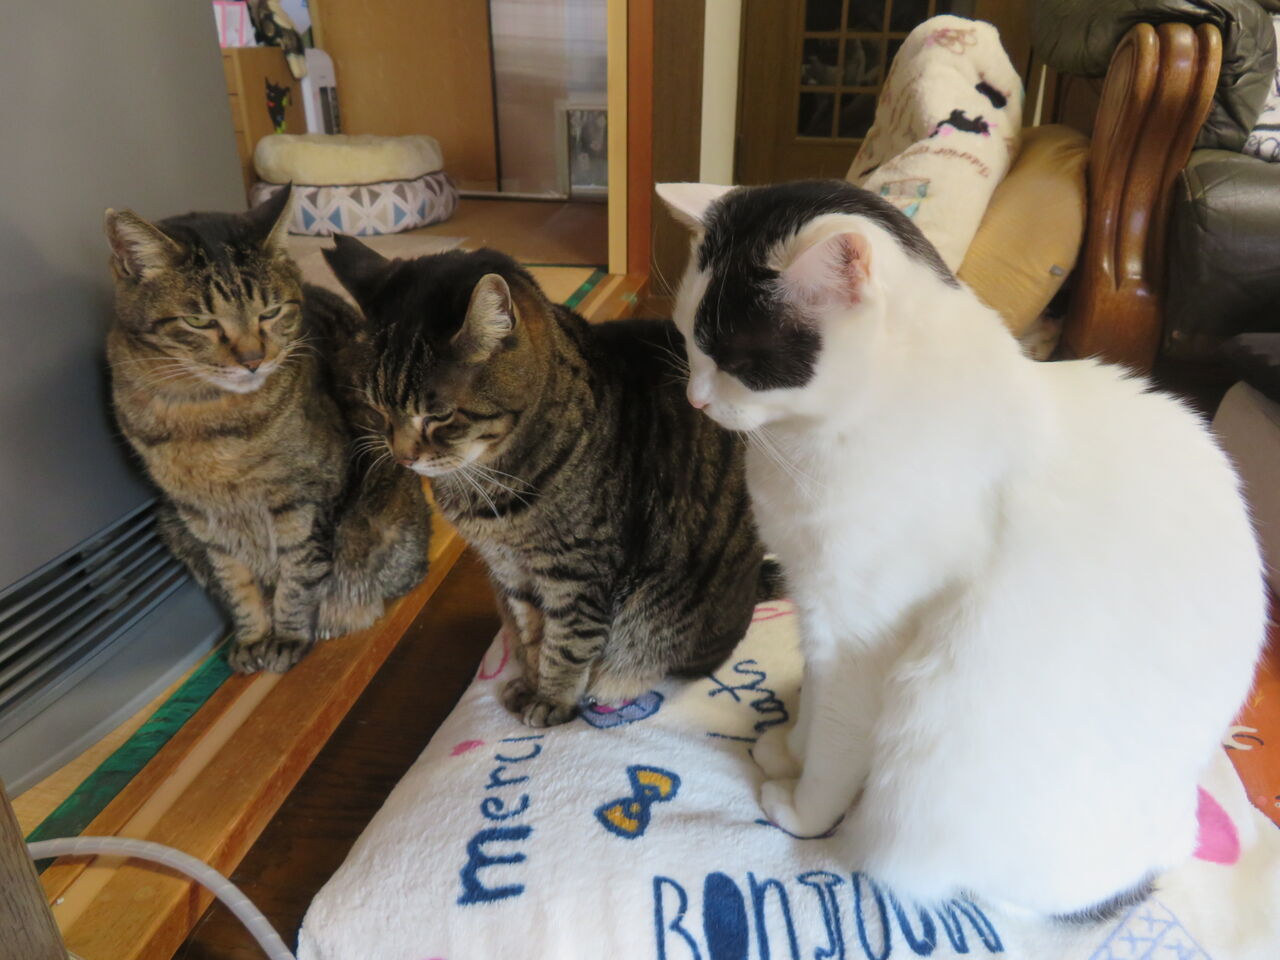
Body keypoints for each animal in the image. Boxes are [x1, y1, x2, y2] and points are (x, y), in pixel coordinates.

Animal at [105, 186, 432, 673]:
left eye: (271, 312)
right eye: (200, 321)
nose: (253, 359)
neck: (206, 418)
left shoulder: (304, 499)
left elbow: (298, 576)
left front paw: (286, 637)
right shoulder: (202, 518)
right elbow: (235, 583)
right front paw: (253, 636)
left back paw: (344, 613)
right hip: (170, 524)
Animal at [322, 238, 773, 727]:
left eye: (438, 416)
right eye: (377, 408)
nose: (403, 456)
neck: (487, 491)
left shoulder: (576, 571)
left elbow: (568, 642)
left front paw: (553, 700)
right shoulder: (510, 570)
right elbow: (532, 629)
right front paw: (531, 681)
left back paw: (618, 682)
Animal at [657, 179, 1265, 920]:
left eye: (742, 362)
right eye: (688, 339)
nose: (695, 397)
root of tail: (1168, 843)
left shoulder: (860, 638)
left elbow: (836, 740)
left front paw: (804, 808)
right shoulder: (815, 611)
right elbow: (817, 709)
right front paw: (788, 747)